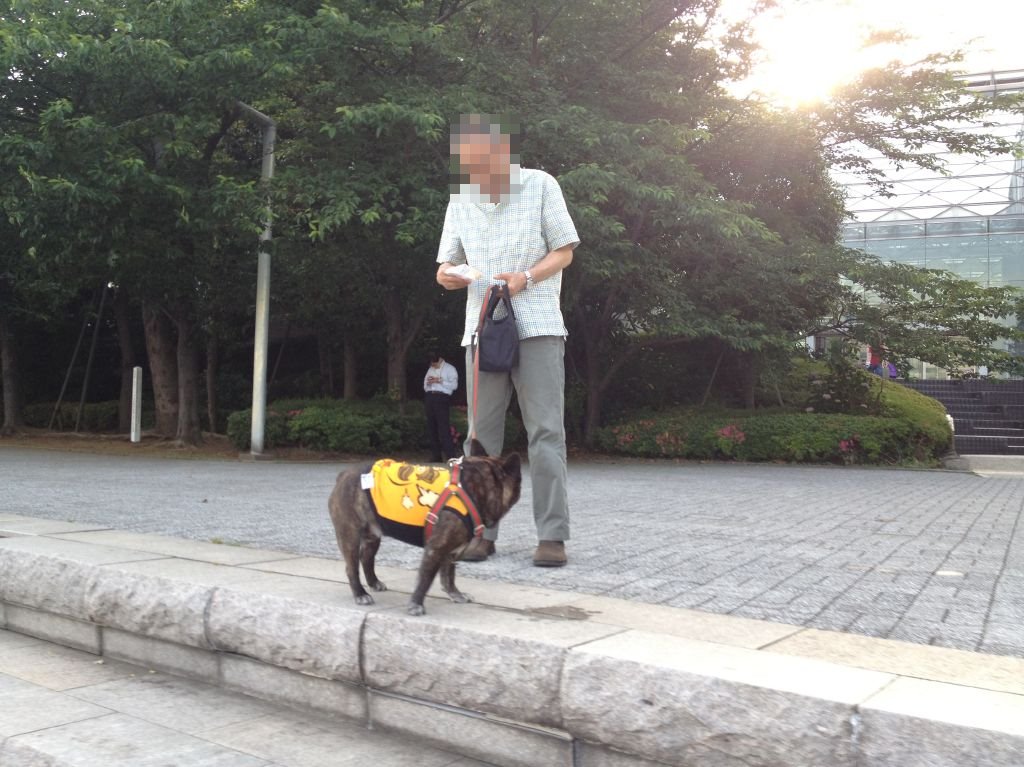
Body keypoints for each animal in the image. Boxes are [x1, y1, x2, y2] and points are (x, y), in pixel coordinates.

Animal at [328, 439, 521, 616]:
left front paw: (455, 594)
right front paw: (416, 604)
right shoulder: (436, 549)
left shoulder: (450, 551)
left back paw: (374, 583)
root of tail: (343, 475)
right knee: (352, 566)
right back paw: (360, 593)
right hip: (350, 534)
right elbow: (426, 579)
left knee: (367, 558)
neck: (473, 487)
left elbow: (448, 575)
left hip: (372, 535)